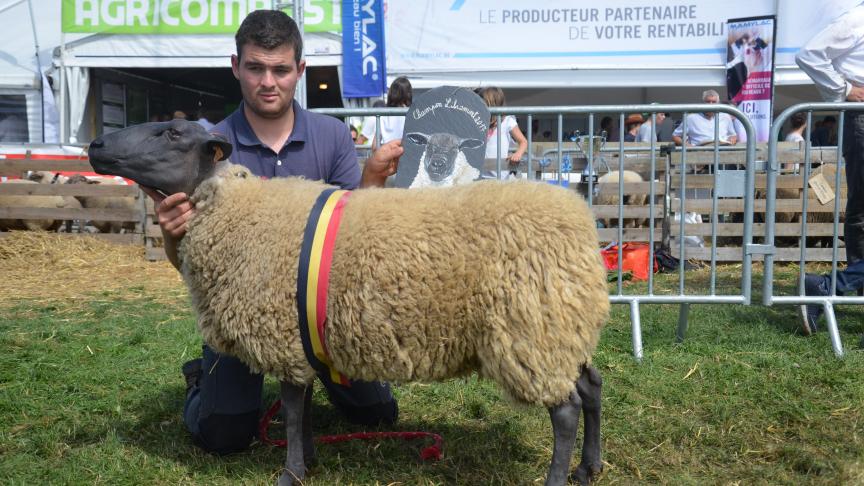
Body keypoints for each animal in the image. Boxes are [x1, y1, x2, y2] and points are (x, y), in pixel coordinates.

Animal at [88, 118, 612, 486]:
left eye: (172, 132)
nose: (95, 147)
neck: (233, 210)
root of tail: (581, 222)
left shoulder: (280, 332)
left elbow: (292, 408)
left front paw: (291, 472)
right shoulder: (299, 336)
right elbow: (302, 407)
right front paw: (308, 459)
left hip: (532, 332)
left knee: (565, 410)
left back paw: (556, 478)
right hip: (561, 326)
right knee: (591, 386)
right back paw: (588, 468)